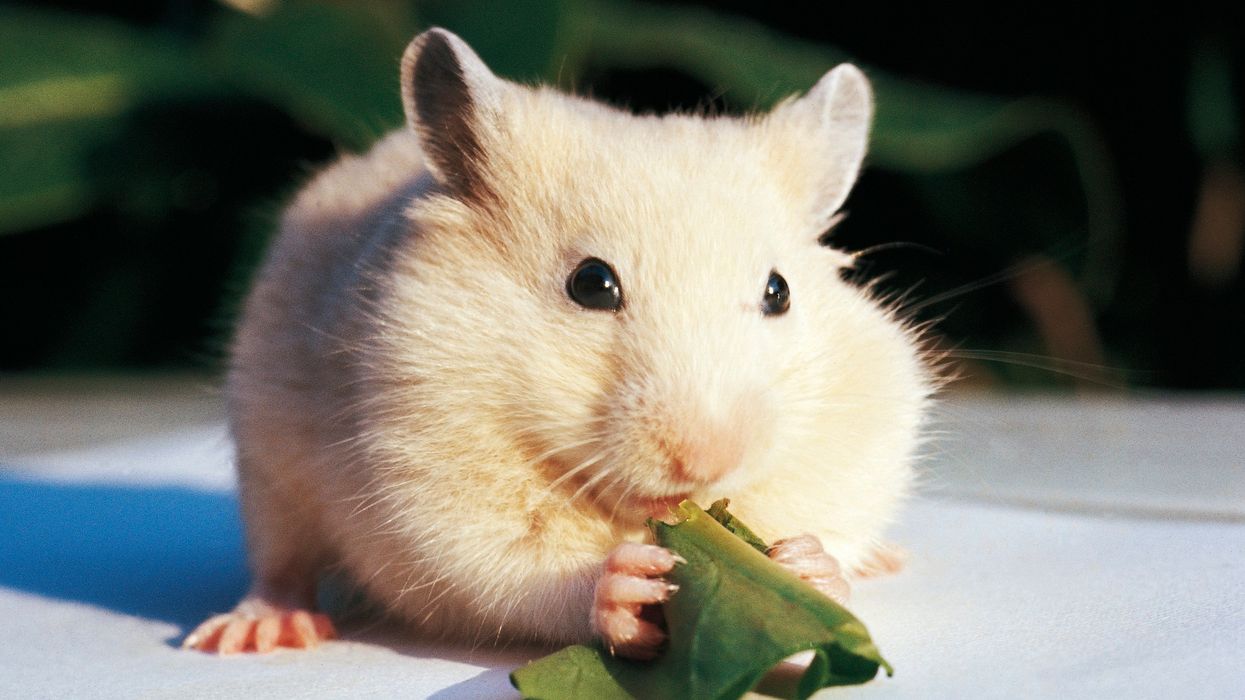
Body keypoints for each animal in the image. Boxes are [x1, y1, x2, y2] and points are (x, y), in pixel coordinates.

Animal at [183, 28, 932, 658]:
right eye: (591, 284)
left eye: (779, 292)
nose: (707, 461)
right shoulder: (425, 491)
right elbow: (521, 572)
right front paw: (628, 586)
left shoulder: (861, 438)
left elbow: (830, 523)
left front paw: (807, 567)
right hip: (266, 466)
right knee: (281, 562)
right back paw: (258, 632)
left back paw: (888, 558)